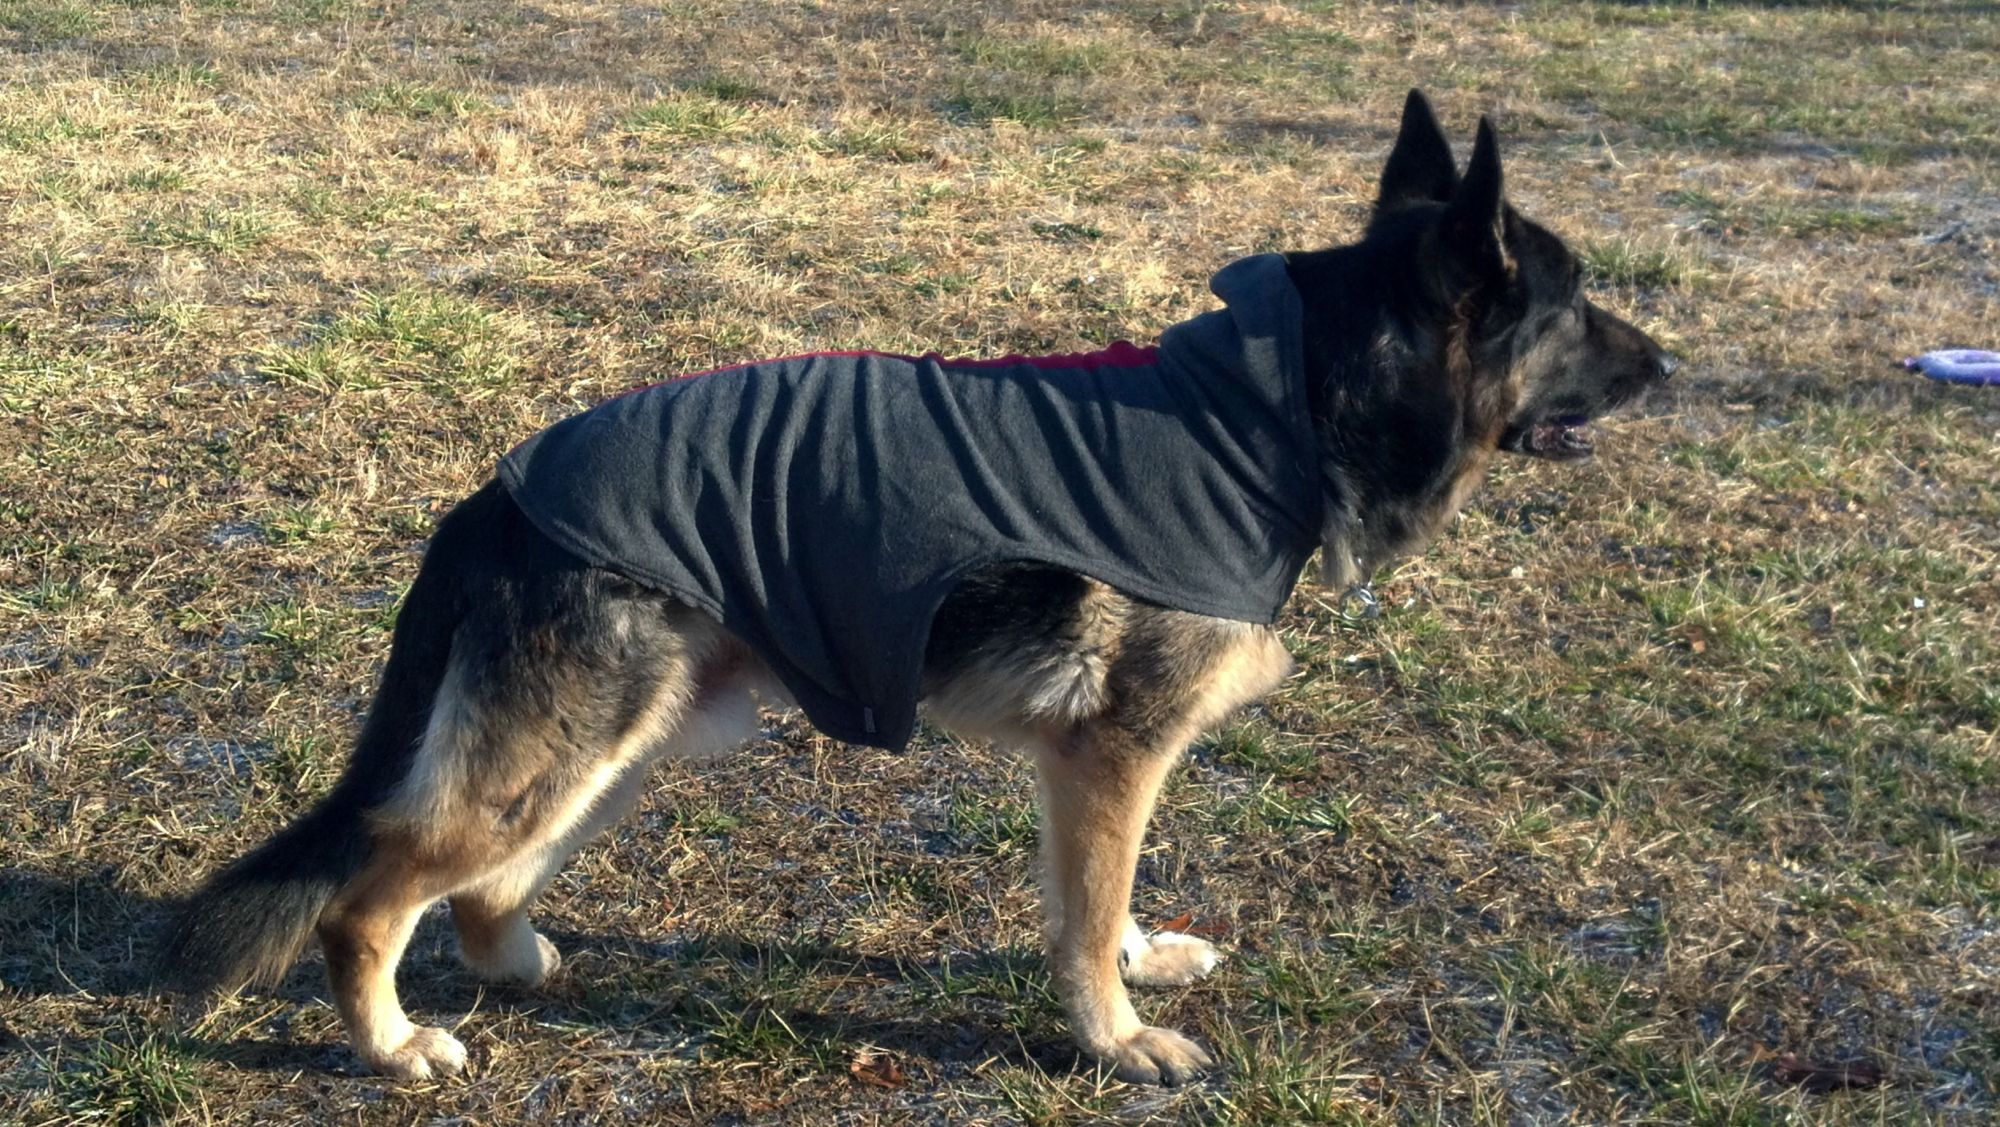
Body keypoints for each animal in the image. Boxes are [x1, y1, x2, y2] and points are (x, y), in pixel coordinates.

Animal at [161, 90, 1671, 1086]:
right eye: (1575, 307)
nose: (1671, 368)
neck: (1285, 400)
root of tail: (492, 495)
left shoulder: (1092, 771)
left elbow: (1100, 897)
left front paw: (1137, 966)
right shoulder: (1112, 756)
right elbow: (1085, 911)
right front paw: (1116, 1038)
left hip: (637, 740)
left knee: (478, 885)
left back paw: (516, 962)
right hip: (575, 747)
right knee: (371, 894)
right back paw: (393, 1043)